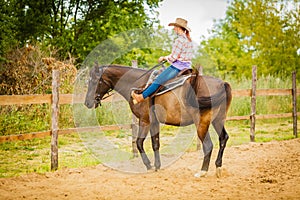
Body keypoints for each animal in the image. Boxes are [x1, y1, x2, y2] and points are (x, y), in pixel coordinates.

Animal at [84, 63, 232, 177]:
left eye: (94, 81)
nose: (87, 103)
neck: (138, 85)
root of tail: (222, 84)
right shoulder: (154, 122)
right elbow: (156, 143)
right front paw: (157, 166)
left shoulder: (145, 121)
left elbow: (139, 143)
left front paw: (149, 166)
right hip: (218, 120)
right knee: (223, 138)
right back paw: (218, 167)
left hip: (202, 123)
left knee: (208, 145)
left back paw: (202, 171)